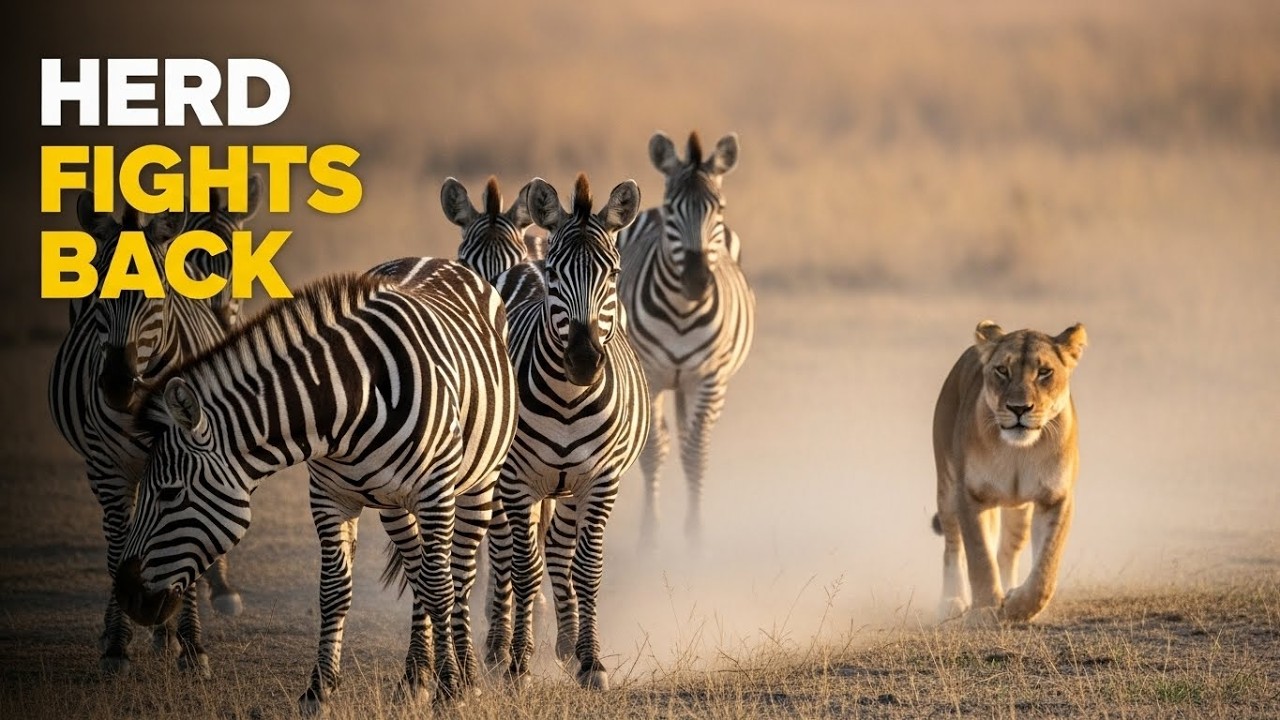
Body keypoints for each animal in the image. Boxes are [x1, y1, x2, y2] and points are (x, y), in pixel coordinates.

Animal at [48, 194, 244, 678]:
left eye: (158, 293)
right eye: (97, 292)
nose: (117, 384)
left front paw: (192, 646)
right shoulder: (107, 468)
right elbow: (121, 547)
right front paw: (118, 645)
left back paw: (166, 630)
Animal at [112, 259, 518, 712]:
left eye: (169, 493)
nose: (125, 593)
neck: (352, 400)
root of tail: (434, 261)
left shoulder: (433, 495)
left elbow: (442, 588)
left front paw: (451, 690)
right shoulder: (328, 499)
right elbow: (334, 592)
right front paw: (319, 689)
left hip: (475, 485)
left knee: (456, 577)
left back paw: (465, 676)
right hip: (394, 506)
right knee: (419, 576)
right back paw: (414, 678)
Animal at [481, 175, 651, 691]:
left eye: (612, 274)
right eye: (557, 275)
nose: (583, 360)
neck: (569, 400)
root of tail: (524, 262)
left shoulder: (600, 480)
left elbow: (587, 567)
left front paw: (590, 660)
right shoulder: (516, 482)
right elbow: (523, 569)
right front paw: (518, 664)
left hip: (569, 485)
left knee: (558, 545)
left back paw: (566, 642)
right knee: (505, 552)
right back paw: (499, 648)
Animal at [616, 131, 756, 544]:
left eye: (719, 208)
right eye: (671, 208)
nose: (696, 281)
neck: (682, 311)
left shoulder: (706, 378)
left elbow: (696, 452)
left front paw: (695, 534)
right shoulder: (648, 375)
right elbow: (652, 449)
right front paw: (649, 534)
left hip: (712, 383)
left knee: (692, 436)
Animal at [931, 320, 1088, 623]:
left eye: (1044, 372)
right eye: (1002, 370)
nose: (1019, 408)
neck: (1018, 452)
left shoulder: (1056, 498)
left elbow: (1045, 568)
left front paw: (1018, 605)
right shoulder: (972, 495)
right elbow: (980, 556)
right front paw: (985, 608)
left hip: (1019, 512)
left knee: (1006, 553)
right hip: (947, 488)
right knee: (953, 547)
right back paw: (951, 601)